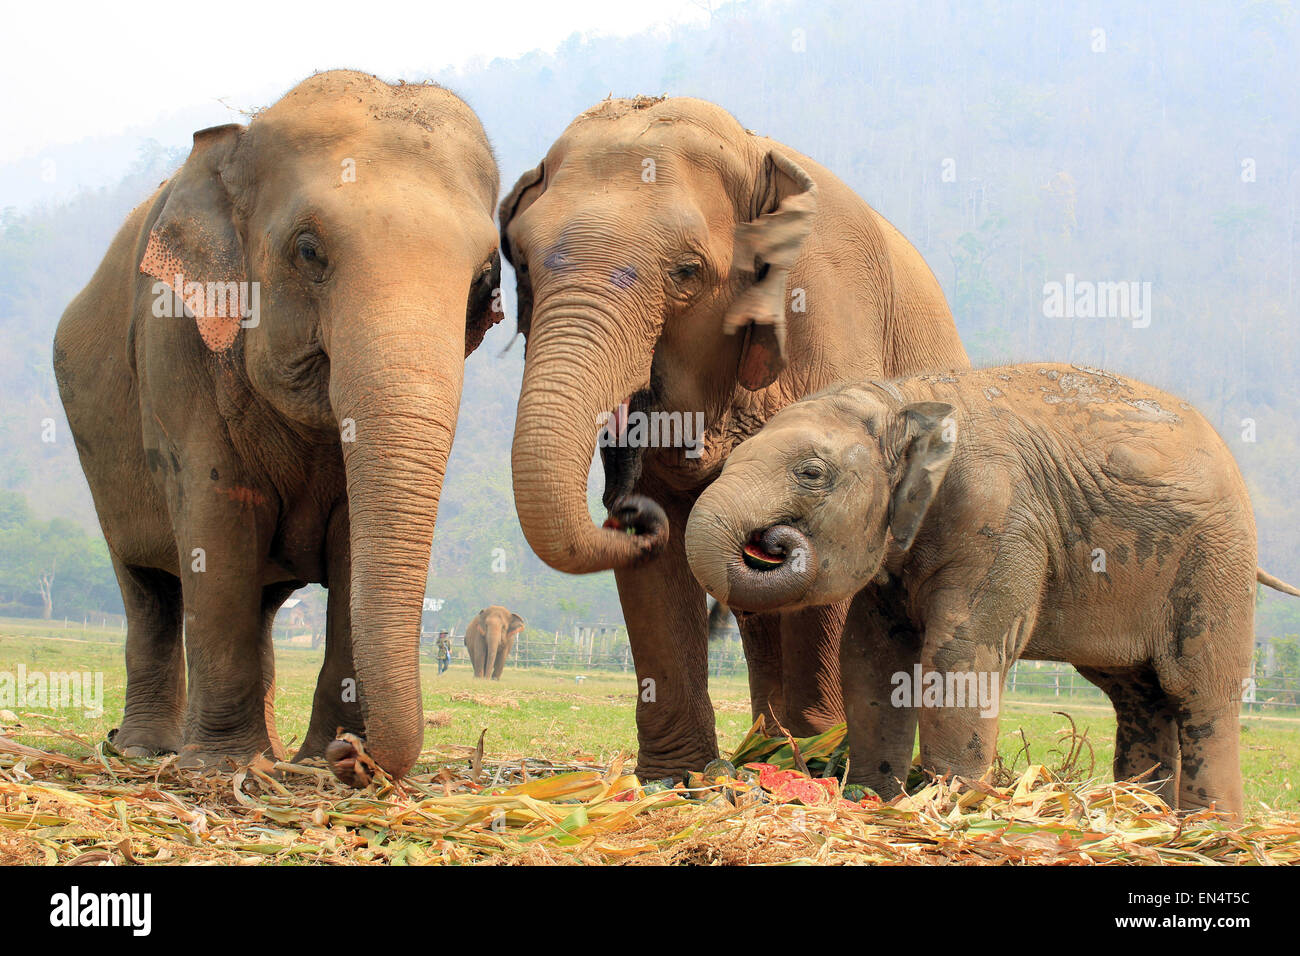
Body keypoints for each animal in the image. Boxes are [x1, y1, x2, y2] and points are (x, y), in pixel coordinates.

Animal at [55, 72, 501, 785]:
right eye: (309, 251)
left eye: (485, 278)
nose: (358, 756)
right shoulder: (173, 341)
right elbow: (218, 526)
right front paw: (220, 767)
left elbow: (350, 542)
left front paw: (315, 758)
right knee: (146, 589)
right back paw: (149, 750)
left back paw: (262, 749)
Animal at [681, 361, 1300, 816]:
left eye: (811, 473)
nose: (773, 541)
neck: (907, 400)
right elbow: (870, 659)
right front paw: (873, 799)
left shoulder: (999, 517)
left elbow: (958, 654)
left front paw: (949, 805)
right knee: (1137, 694)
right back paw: (1142, 812)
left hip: (1215, 560)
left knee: (1199, 689)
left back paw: (1211, 828)